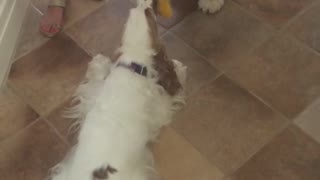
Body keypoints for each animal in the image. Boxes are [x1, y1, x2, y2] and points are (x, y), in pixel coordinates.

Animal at [48, 0, 186, 180]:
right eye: (149, 12)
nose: (147, 2)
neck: (133, 63)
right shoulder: (158, 111)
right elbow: (167, 99)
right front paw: (180, 68)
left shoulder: (94, 97)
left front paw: (98, 62)